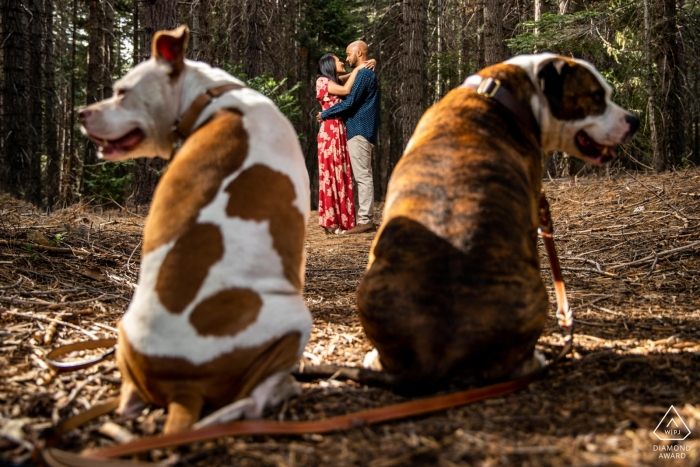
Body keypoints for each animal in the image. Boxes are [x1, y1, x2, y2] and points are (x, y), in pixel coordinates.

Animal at [78, 26, 310, 436]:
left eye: (122, 91)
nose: (80, 112)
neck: (210, 99)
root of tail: (182, 387)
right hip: (295, 318)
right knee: (252, 402)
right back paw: (283, 389)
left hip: (125, 337)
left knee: (128, 403)